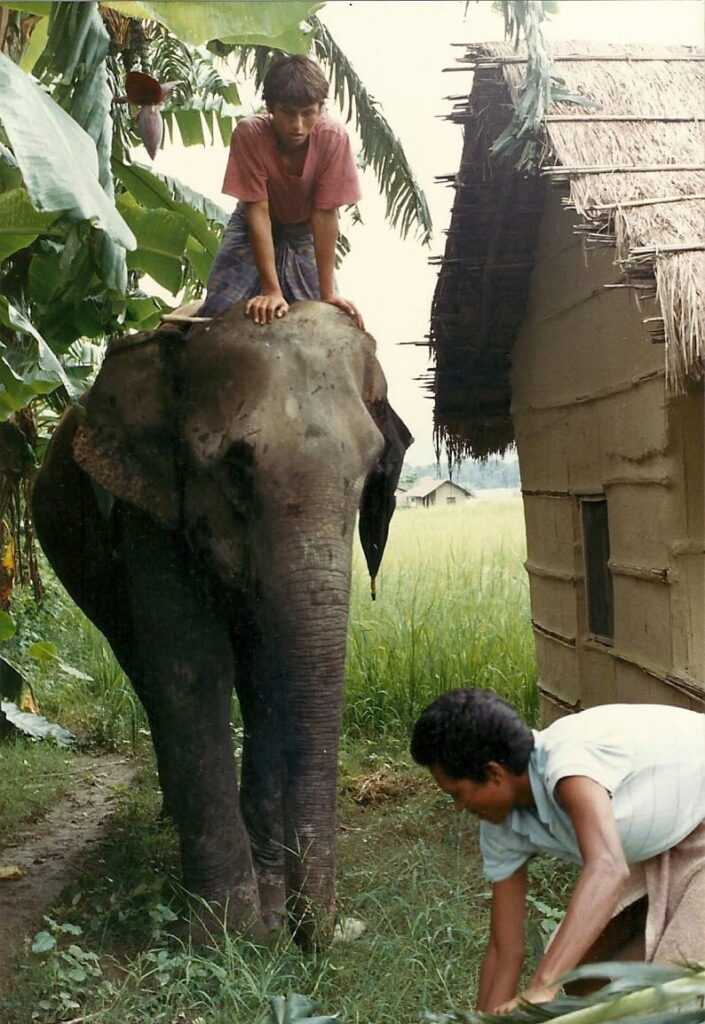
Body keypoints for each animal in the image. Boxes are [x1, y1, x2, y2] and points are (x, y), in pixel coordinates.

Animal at [32, 300, 411, 947]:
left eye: (370, 468)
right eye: (235, 468)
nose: (316, 936)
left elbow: (264, 670)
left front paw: (269, 913)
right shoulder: (150, 505)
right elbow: (191, 667)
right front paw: (229, 935)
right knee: (146, 674)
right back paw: (172, 816)